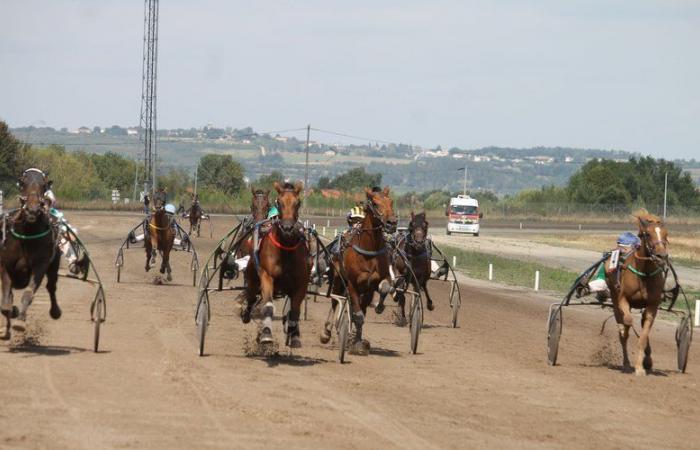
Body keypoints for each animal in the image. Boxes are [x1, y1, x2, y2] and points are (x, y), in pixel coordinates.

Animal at [0, 169, 61, 338]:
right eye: (22, 183)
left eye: (44, 185)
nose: (32, 210)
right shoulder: (5, 265)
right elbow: (5, 302)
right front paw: (11, 315)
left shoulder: (40, 265)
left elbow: (28, 293)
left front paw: (20, 321)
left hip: (54, 263)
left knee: (51, 286)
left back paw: (55, 311)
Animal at [241, 181, 308, 346]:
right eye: (279, 202)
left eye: (298, 202)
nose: (287, 227)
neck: (286, 250)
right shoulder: (266, 276)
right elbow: (268, 306)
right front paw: (266, 334)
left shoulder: (301, 283)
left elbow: (295, 309)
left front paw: (294, 335)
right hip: (253, 278)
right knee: (251, 296)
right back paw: (246, 313)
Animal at [320, 185, 396, 356]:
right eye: (375, 203)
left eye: (391, 201)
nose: (392, 223)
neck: (369, 251)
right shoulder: (352, 284)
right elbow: (358, 316)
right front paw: (356, 344)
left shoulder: (372, 284)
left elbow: (383, 288)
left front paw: (358, 341)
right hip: (338, 280)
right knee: (335, 301)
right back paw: (326, 332)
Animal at [604, 211, 668, 376]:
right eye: (648, 234)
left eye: (666, 234)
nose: (661, 256)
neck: (644, 274)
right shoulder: (623, 299)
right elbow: (627, 323)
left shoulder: (652, 306)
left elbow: (643, 336)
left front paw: (641, 366)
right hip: (614, 298)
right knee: (623, 327)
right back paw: (626, 363)